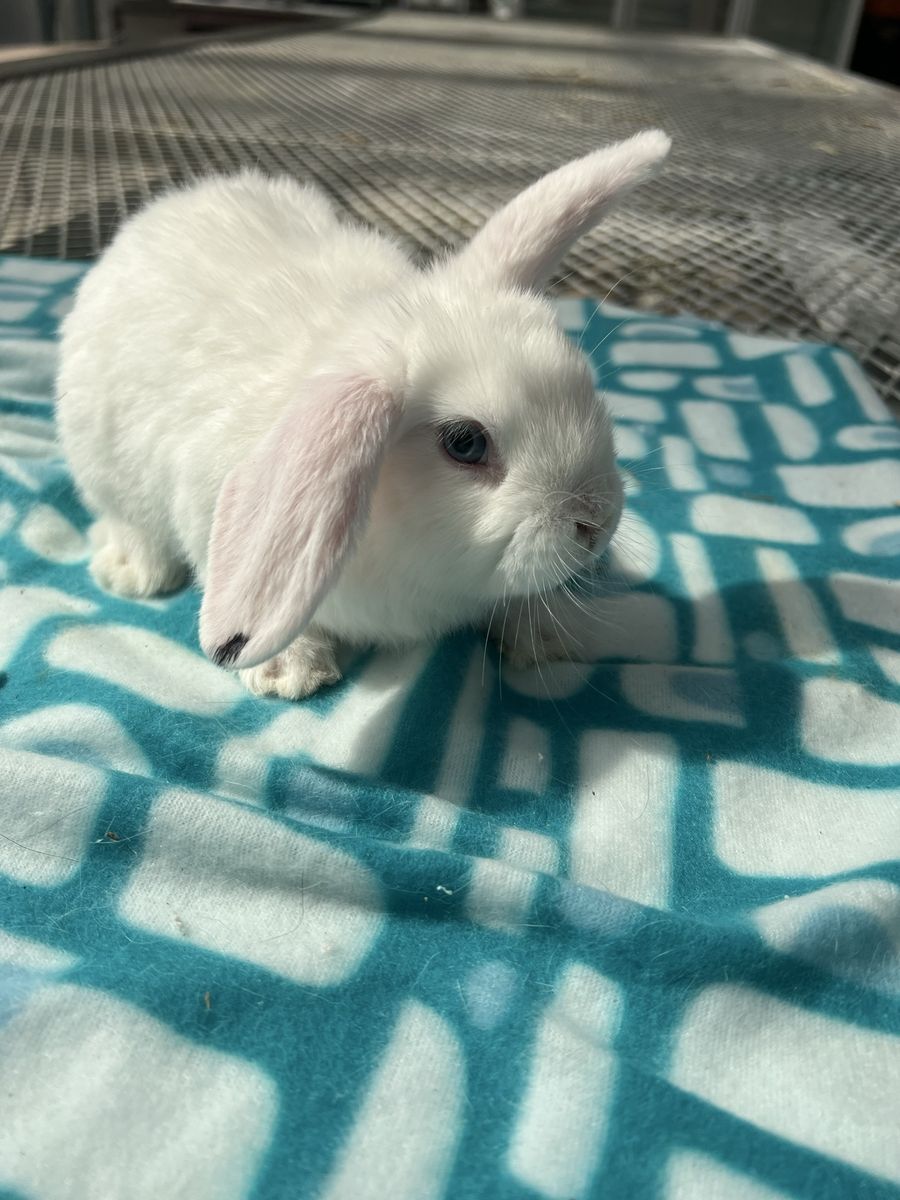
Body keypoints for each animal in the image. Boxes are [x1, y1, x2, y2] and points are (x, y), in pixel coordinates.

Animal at [56, 129, 670, 699]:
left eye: (586, 385)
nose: (597, 522)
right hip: (106, 468)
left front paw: (549, 636)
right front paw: (289, 673)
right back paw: (132, 572)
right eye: (465, 443)